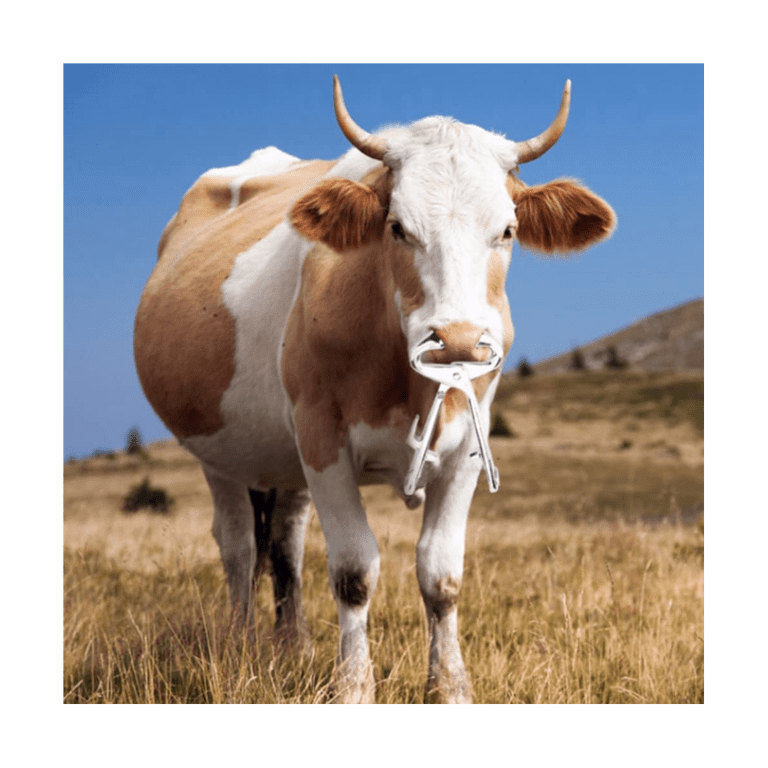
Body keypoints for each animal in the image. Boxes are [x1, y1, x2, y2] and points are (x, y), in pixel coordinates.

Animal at [134, 76, 615, 704]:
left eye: (507, 230)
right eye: (397, 228)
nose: (458, 341)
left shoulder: (466, 449)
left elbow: (441, 573)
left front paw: (451, 686)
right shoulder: (323, 438)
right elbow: (354, 571)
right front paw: (354, 686)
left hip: (285, 459)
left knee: (285, 541)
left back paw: (294, 646)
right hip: (218, 450)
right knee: (238, 546)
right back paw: (240, 646)